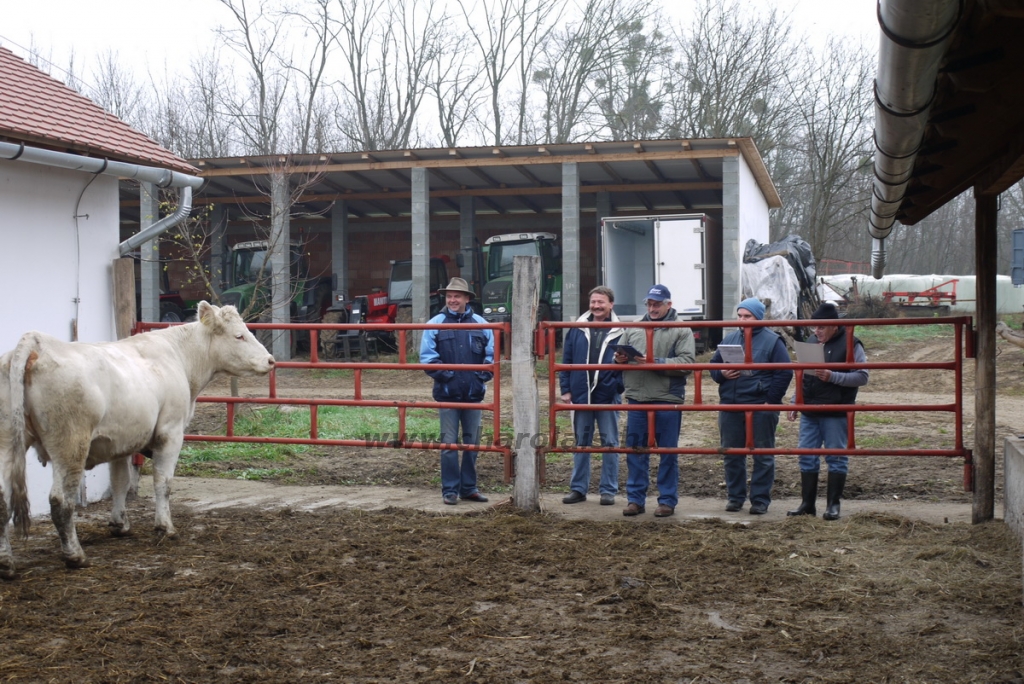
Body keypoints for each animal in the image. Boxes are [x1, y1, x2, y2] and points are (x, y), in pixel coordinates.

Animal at [0, 301, 274, 573]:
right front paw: (165, 527)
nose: (271, 360)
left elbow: (120, 481)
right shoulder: (170, 432)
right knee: (60, 501)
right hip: (70, 445)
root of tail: (37, 342)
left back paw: (6, 562)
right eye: (239, 335)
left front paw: (120, 524)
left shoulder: (119, 441)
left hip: (7, 443)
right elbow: (163, 483)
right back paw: (75, 555)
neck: (180, 358)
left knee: (3, 501)